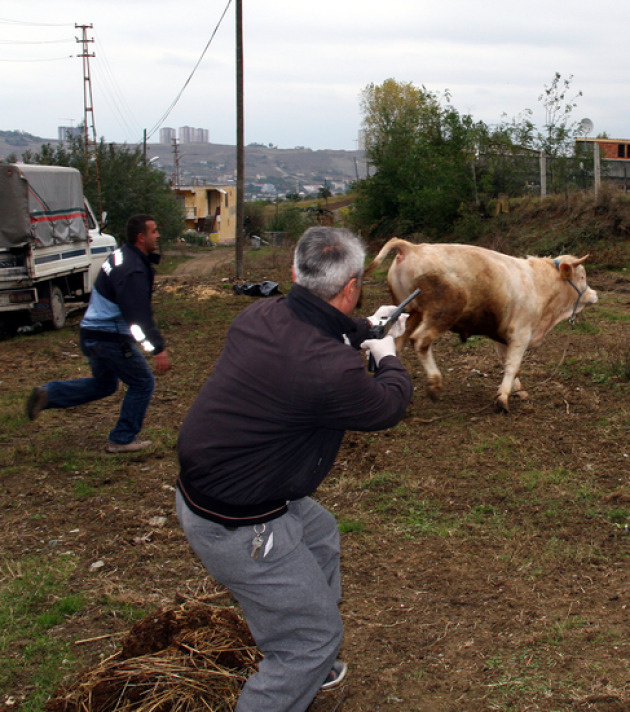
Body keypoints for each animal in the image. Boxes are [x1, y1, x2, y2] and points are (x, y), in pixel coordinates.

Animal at [368, 239, 600, 412]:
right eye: (581, 276)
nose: (595, 294)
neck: (538, 284)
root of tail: (412, 247)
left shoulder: (503, 337)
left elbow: (509, 365)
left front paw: (518, 391)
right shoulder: (521, 333)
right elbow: (513, 364)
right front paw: (503, 399)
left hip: (409, 313)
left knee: (397, 344)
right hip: (442, 313)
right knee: (421, 341)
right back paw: (434, 384)